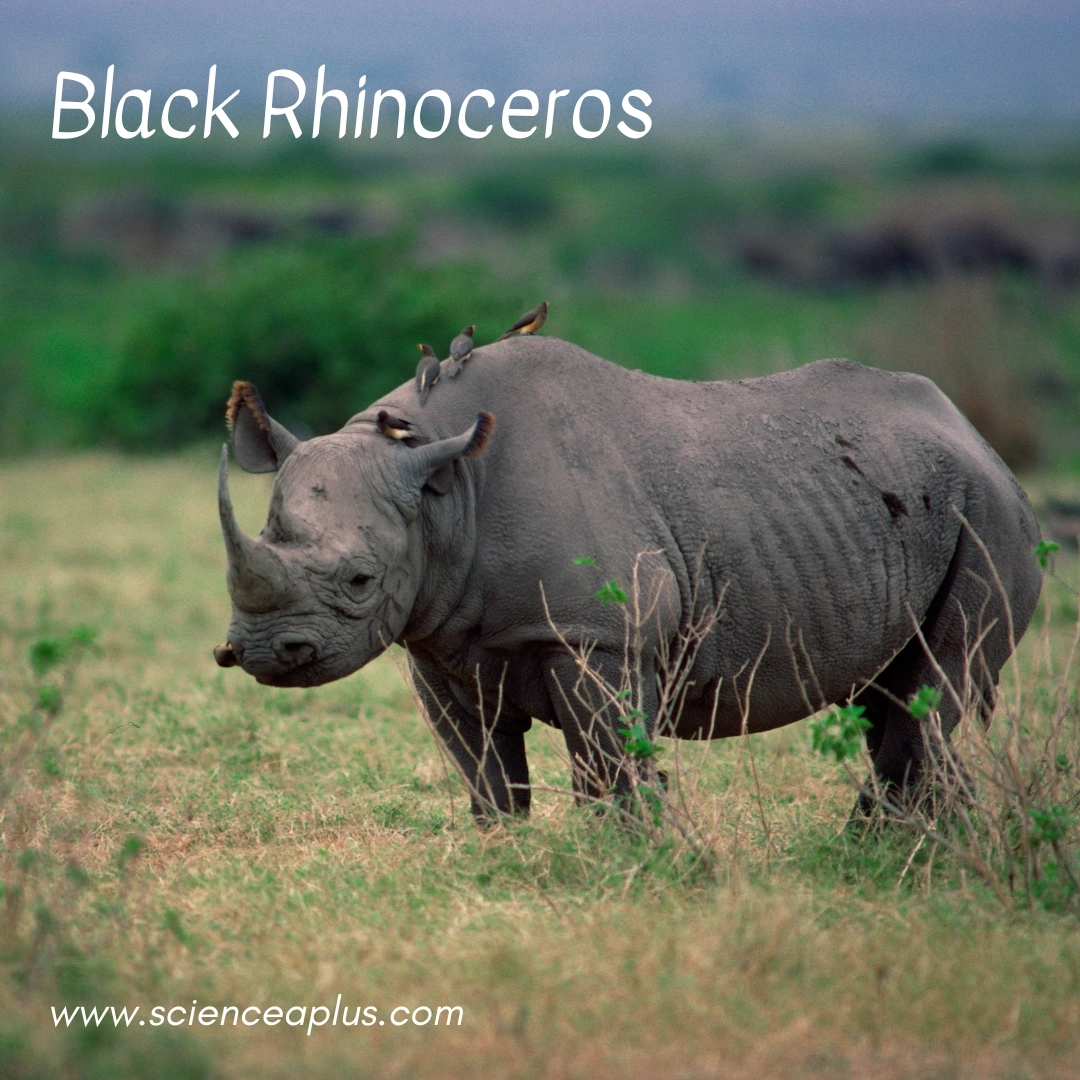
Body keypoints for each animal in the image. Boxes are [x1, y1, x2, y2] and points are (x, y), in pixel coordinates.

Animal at [214, 338, 1041, 820]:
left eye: (360, 580)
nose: (260, 653)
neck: (441, 488)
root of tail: (974, 434)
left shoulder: (599, 639)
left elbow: (609, 764)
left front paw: (620, 865)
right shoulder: (435, 642)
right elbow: (485, 773)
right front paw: (505, 856)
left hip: (988, 515)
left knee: (932, 689)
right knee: (891, 698)